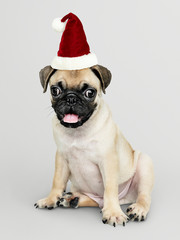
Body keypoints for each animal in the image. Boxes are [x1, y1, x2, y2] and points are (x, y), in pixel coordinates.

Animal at [34, 64, 154, 226]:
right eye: (55, 90)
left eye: (89, 93)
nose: (71, 98)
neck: (78, 131)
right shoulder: (61, 157)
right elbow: (57, 181)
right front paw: (50, 199)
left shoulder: (108, 161)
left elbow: (110, 188)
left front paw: (113, 213)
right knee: (96, 200)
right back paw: (73, 199)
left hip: (144, 163)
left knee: (143, 195)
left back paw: (138, 209)